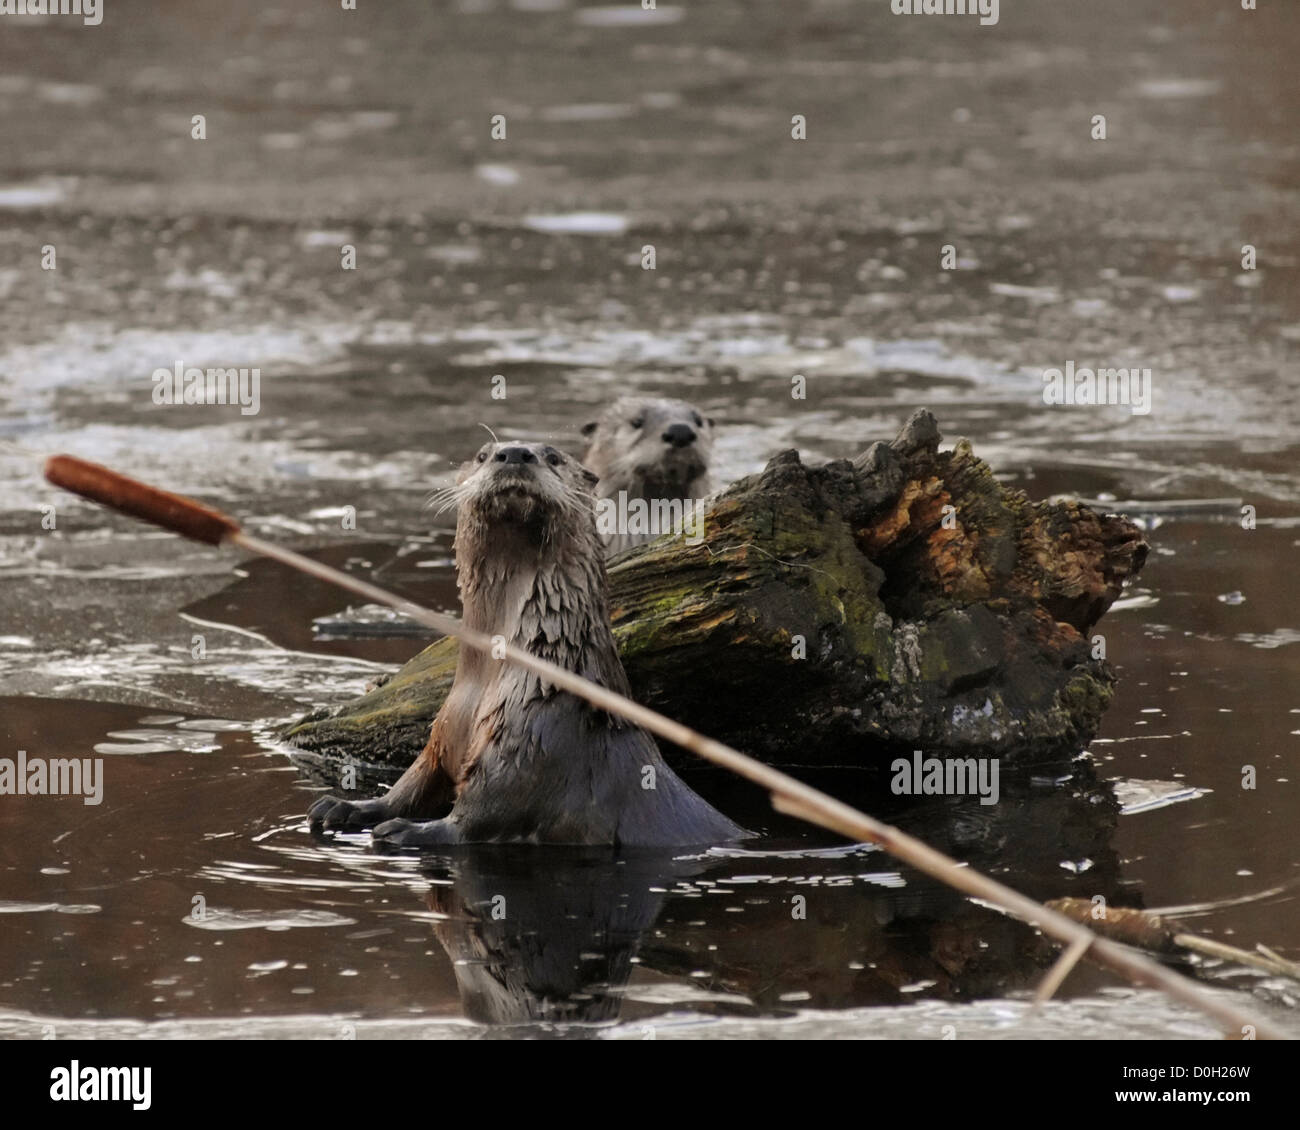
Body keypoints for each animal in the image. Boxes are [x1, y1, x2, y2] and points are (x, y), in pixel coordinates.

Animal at [307, 439, 747, 849]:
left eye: (553, 456)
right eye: (483, 454)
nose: (515, 452)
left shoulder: (532, 742)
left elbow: (482, 814)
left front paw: (406, 831)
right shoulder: (444, 731)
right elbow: (414, 783)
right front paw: (344, 807)